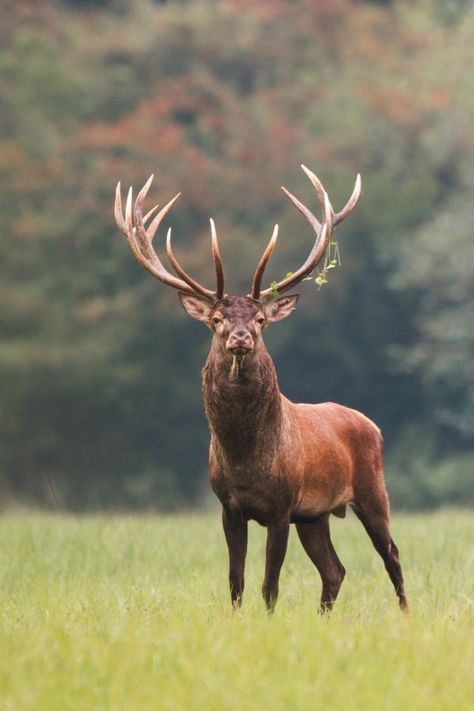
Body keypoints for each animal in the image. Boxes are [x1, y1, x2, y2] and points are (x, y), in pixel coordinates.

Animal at [114, 165, 408, 612]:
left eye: (260, 319)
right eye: (216, 319)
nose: (240, 337)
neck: (244, 458)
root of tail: (372, 424)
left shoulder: (282, 505)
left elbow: (270, 583)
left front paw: (268, 621)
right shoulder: (228, 507)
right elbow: (235, 580)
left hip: (373, 490)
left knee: (391, 555)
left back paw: (406, 614)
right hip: (316, 515)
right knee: (335, 570)